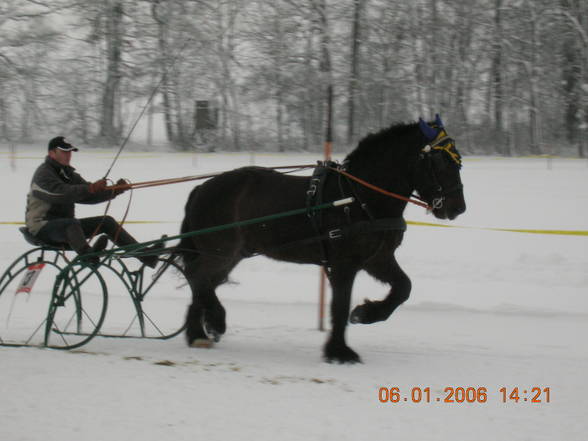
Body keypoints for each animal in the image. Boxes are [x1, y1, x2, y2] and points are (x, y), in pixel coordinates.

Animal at [177, 115, 466, 362]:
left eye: (458, 159)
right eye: (441, 161)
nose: (458, 207)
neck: (358, 197)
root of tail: (201, 188)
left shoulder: (377, 259)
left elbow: (403, 288)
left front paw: (366, 314)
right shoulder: (344, 264)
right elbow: (339, 306)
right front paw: (339, 351)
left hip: (230, 255)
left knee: (203, 282)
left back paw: (198, 333)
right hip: (221, 250)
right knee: (196, 275)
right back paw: (215, 321)